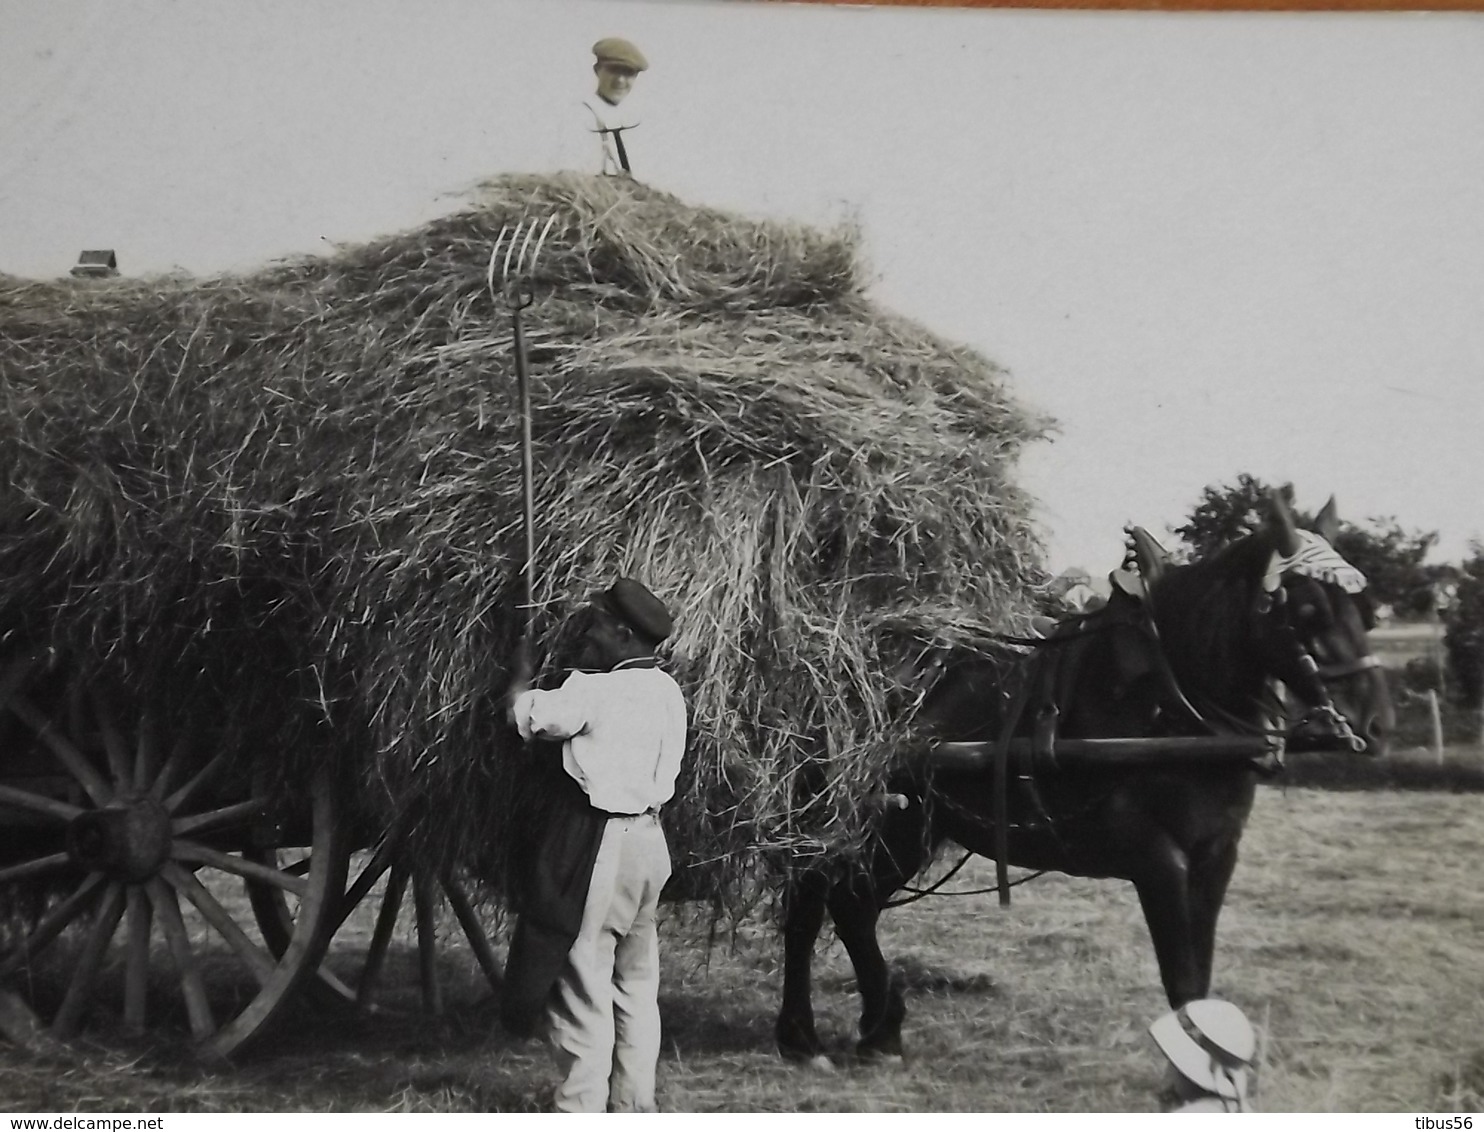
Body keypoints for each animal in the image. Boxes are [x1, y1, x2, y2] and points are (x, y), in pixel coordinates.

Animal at [777, 492, 1389, 1062]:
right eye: (1307, 608)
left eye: (1366, 607)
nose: (1376, 721)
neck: (1170, 705)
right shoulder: (1156, 858)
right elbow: (1182, 977)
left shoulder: (1217, 855)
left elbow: (1203, 972)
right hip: (857, 820)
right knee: (816, 906)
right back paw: (804, 1036)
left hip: (906, 829)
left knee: (851, 907)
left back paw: (878, 1029)